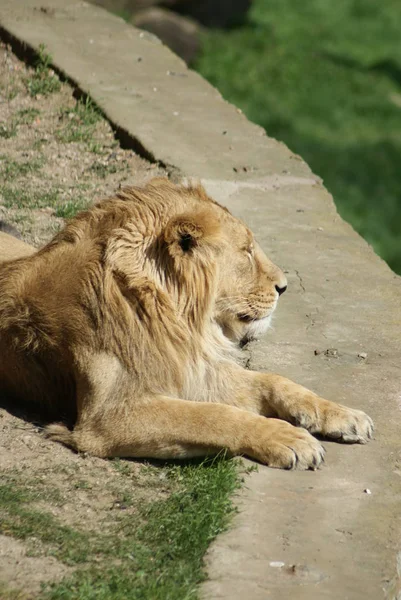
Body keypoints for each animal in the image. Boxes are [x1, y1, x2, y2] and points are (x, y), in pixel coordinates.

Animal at [0, 178, 372, 468]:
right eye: (247, 251)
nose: (284, 286)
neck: (174, 316)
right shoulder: (106, 417)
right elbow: (211, 416)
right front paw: (289, 438)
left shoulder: (192, 367)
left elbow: (273, 381)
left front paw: (345, 416)